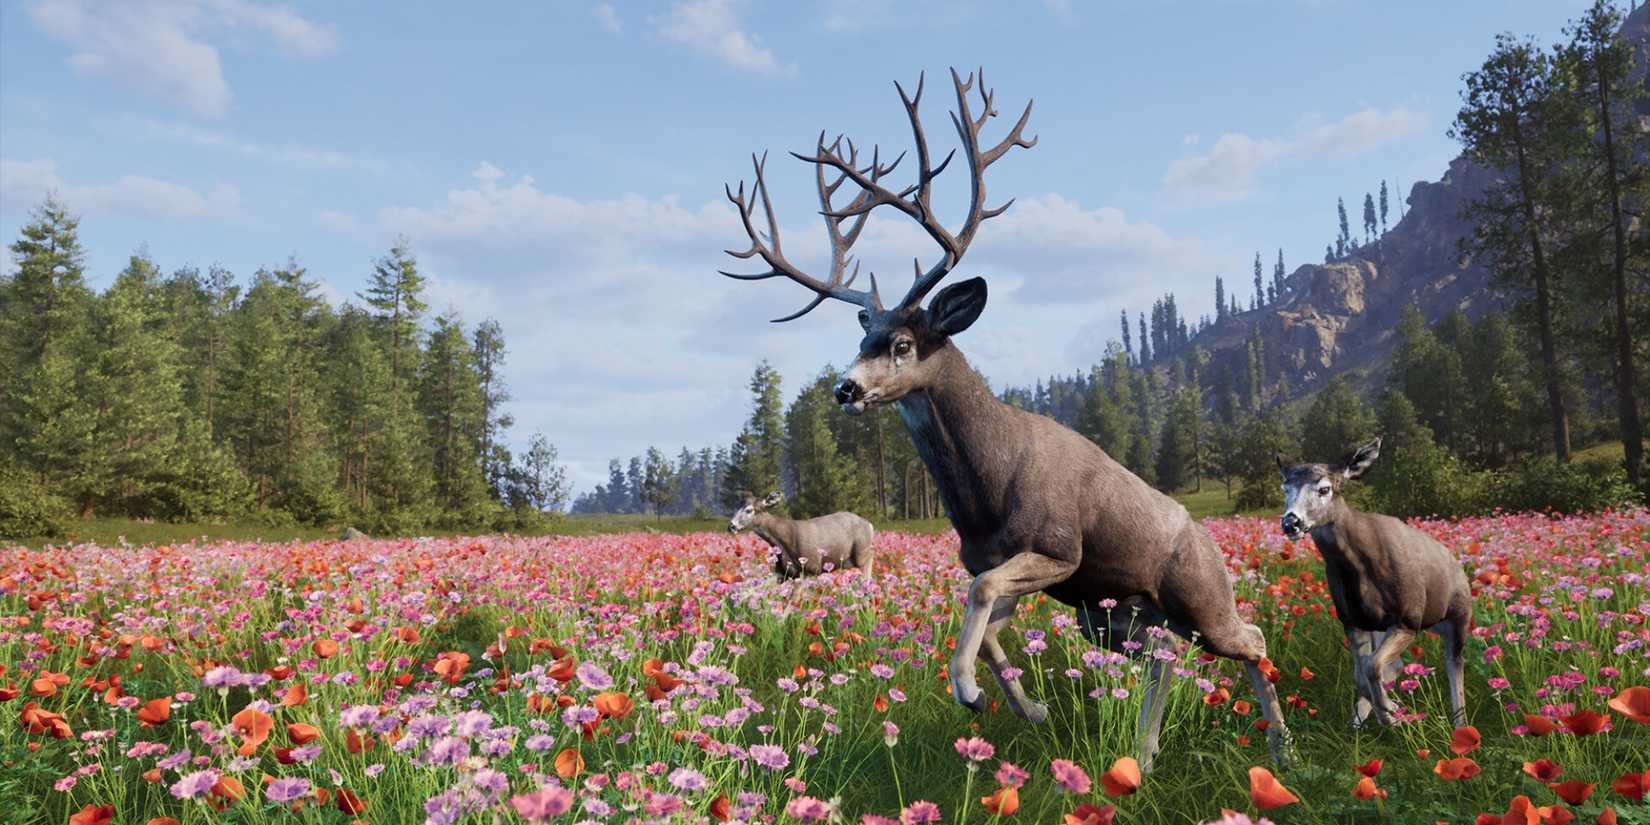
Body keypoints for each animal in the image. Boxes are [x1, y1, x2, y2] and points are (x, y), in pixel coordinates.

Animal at [728, 491, 877, 580]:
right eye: (737, 507)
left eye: (749, 510)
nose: (731, 526)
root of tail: (870, 525)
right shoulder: (784, 572)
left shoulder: (812, 567)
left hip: (861, 551)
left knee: (870, 557)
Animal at [1277, 437, 1471, 727]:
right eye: (1285, 488)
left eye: (1324, 489)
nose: (1291, 523)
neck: (1358, 570)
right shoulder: (1352, 620)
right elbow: (1362, 674)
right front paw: (1389, 711)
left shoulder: (1409, 617)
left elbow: (1372, 666)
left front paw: (1391, 714)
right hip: (1386, 627)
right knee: (1394, 665)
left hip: (1457, 614)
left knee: (1454, 662)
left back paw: (1460, 724)